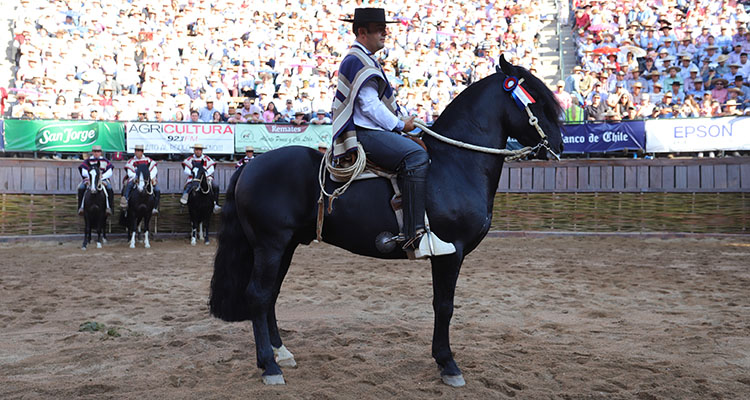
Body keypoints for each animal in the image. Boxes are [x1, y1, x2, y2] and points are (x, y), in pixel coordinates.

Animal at [209, 54, 560, 386]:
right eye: (539, 102)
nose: (557, 145)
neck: (455, 163)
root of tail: (250, 165)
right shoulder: (451, 251)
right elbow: (444, 305)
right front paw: (448, 364)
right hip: (270, 245)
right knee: (258, 296)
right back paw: (269, 366)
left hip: (285, 246)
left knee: (270, 295)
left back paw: (282, 353)